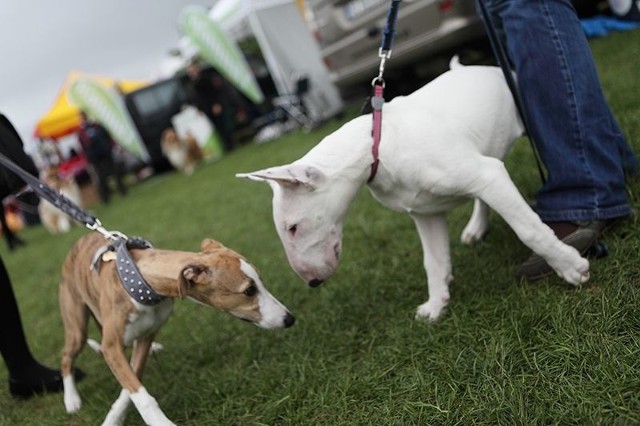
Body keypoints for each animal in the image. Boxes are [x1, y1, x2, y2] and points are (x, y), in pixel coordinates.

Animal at [58, 233, 294, 426]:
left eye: (260, 282)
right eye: (249, 291)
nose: (289, 319)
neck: (142, 281)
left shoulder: (146, 336)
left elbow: (130, 385)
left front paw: (114, 417)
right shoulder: (111, 346)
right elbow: (139, 393)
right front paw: (159, 422)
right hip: (77, 327)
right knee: (67, 357)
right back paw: (71, 400)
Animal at [239, 61, 592, 322]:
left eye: (293, 228)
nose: (312, 282)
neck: (378, 147)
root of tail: (472, 66)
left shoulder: (488, 175)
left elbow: (529, 229)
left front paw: (569, 266)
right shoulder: (426, 212)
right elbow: (433, 260)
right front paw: (436, 305)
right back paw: (476, 227)